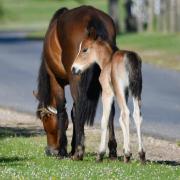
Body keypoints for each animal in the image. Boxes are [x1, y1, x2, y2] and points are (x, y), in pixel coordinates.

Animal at [35, 5, 118, 160]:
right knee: (110, 109)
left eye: (45, 121)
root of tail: (92, 16)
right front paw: (72, 147)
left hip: (75, 79)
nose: (50, 150)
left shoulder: (55, 80)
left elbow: (63, 110)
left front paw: (64, 149)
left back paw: (79, 151)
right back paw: (112, 151)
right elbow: (73, 114)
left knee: (79, 106)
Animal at [71, 28, 146, 162]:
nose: (74, 68)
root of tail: (129, 57)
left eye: (84, 49)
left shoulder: (107, 92)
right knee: (136, 114)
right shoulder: (126, 93)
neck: (107, 62)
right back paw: (141, 155)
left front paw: (100, 154)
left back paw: (128, 154)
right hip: (136, 91)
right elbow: (120, 120)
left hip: (119, 90)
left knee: (125, 113)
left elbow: (104, 120)